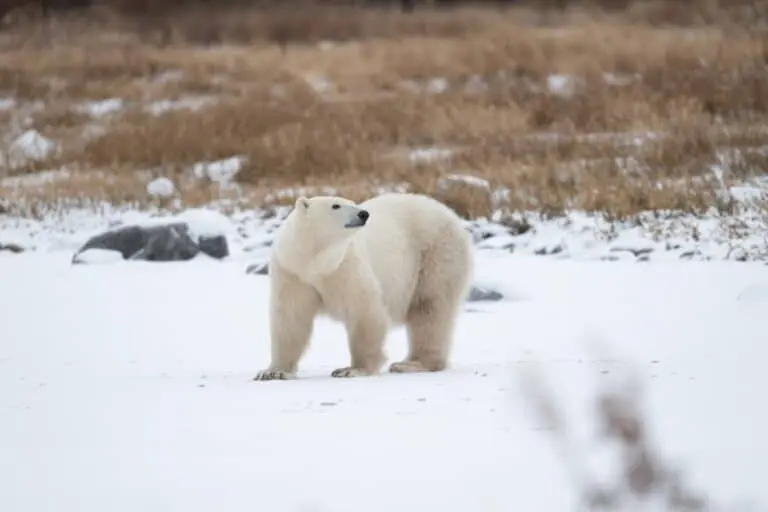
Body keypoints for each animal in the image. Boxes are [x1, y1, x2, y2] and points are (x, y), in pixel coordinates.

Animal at [253, 192, 474, 381]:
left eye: (353, 202)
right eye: (336, 205)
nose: (363, 213)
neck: (315, 262)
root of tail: (450, 213)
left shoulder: (345, 265)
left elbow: (364, 311)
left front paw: (352, 369)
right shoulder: (292, 272)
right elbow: (291, 318)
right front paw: (273, 372)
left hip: (436, 255)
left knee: (429, 309)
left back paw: (411, 364)